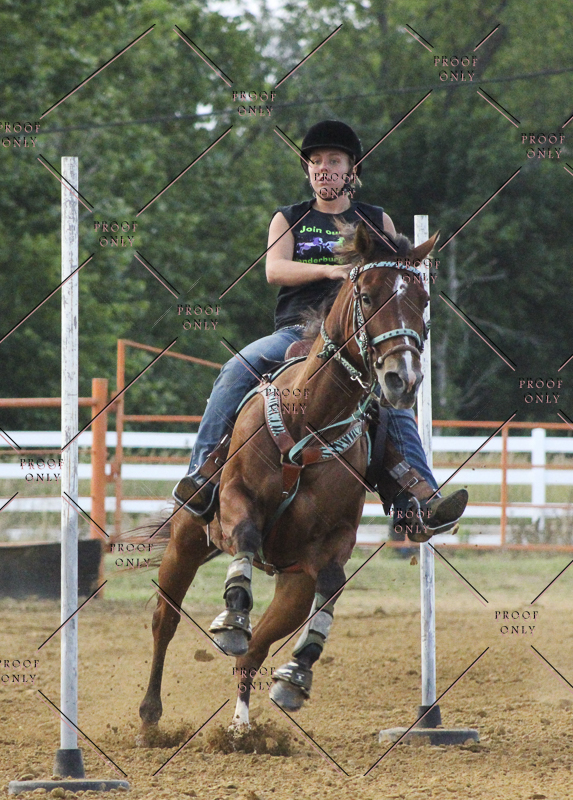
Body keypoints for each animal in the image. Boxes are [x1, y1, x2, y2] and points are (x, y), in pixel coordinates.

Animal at [138, 222, 438, 740]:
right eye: (367, 293)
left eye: (421, 300)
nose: (404, 377)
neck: (310, 418)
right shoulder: (236, 498)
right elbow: (245, 536)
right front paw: (232, 615)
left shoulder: (331, 542)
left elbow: (333, 583)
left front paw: (298, 672)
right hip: (186, 540)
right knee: (166, 621)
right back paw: (150, 715)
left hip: (293, 586)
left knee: (255, 650)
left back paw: (243, 728)